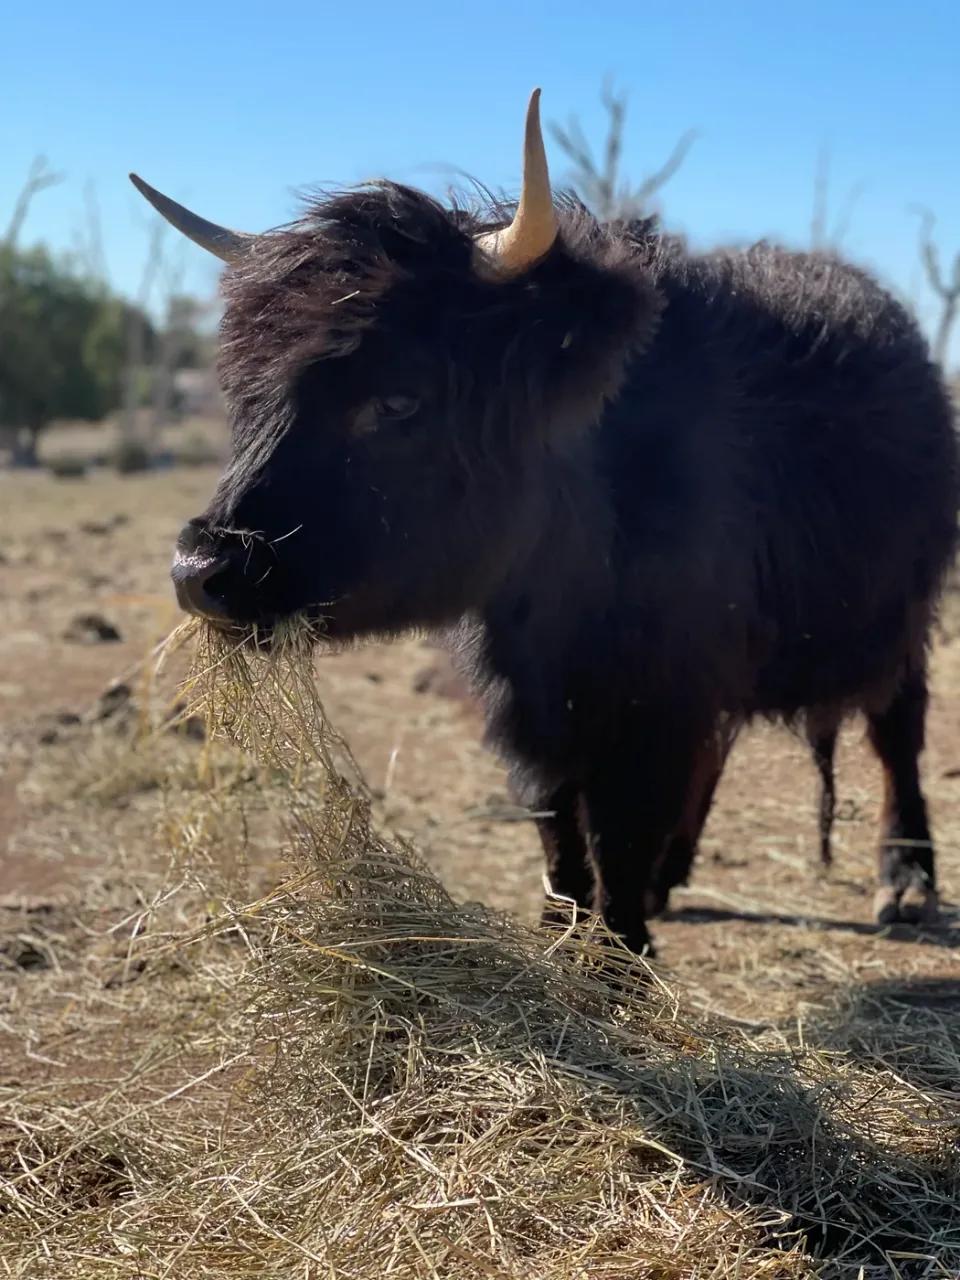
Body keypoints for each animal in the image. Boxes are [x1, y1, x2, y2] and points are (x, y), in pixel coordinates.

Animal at [131, 91, 959, 955]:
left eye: (398, 398)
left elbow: (618, 832)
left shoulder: (653, 700)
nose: (205, 572)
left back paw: (904, 881)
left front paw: (618, 954)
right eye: (243, 391)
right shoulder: (530, 697)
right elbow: (555, 820)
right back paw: (676, 875)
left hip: (902, 616)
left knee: (897, 733)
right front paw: (560, 924)